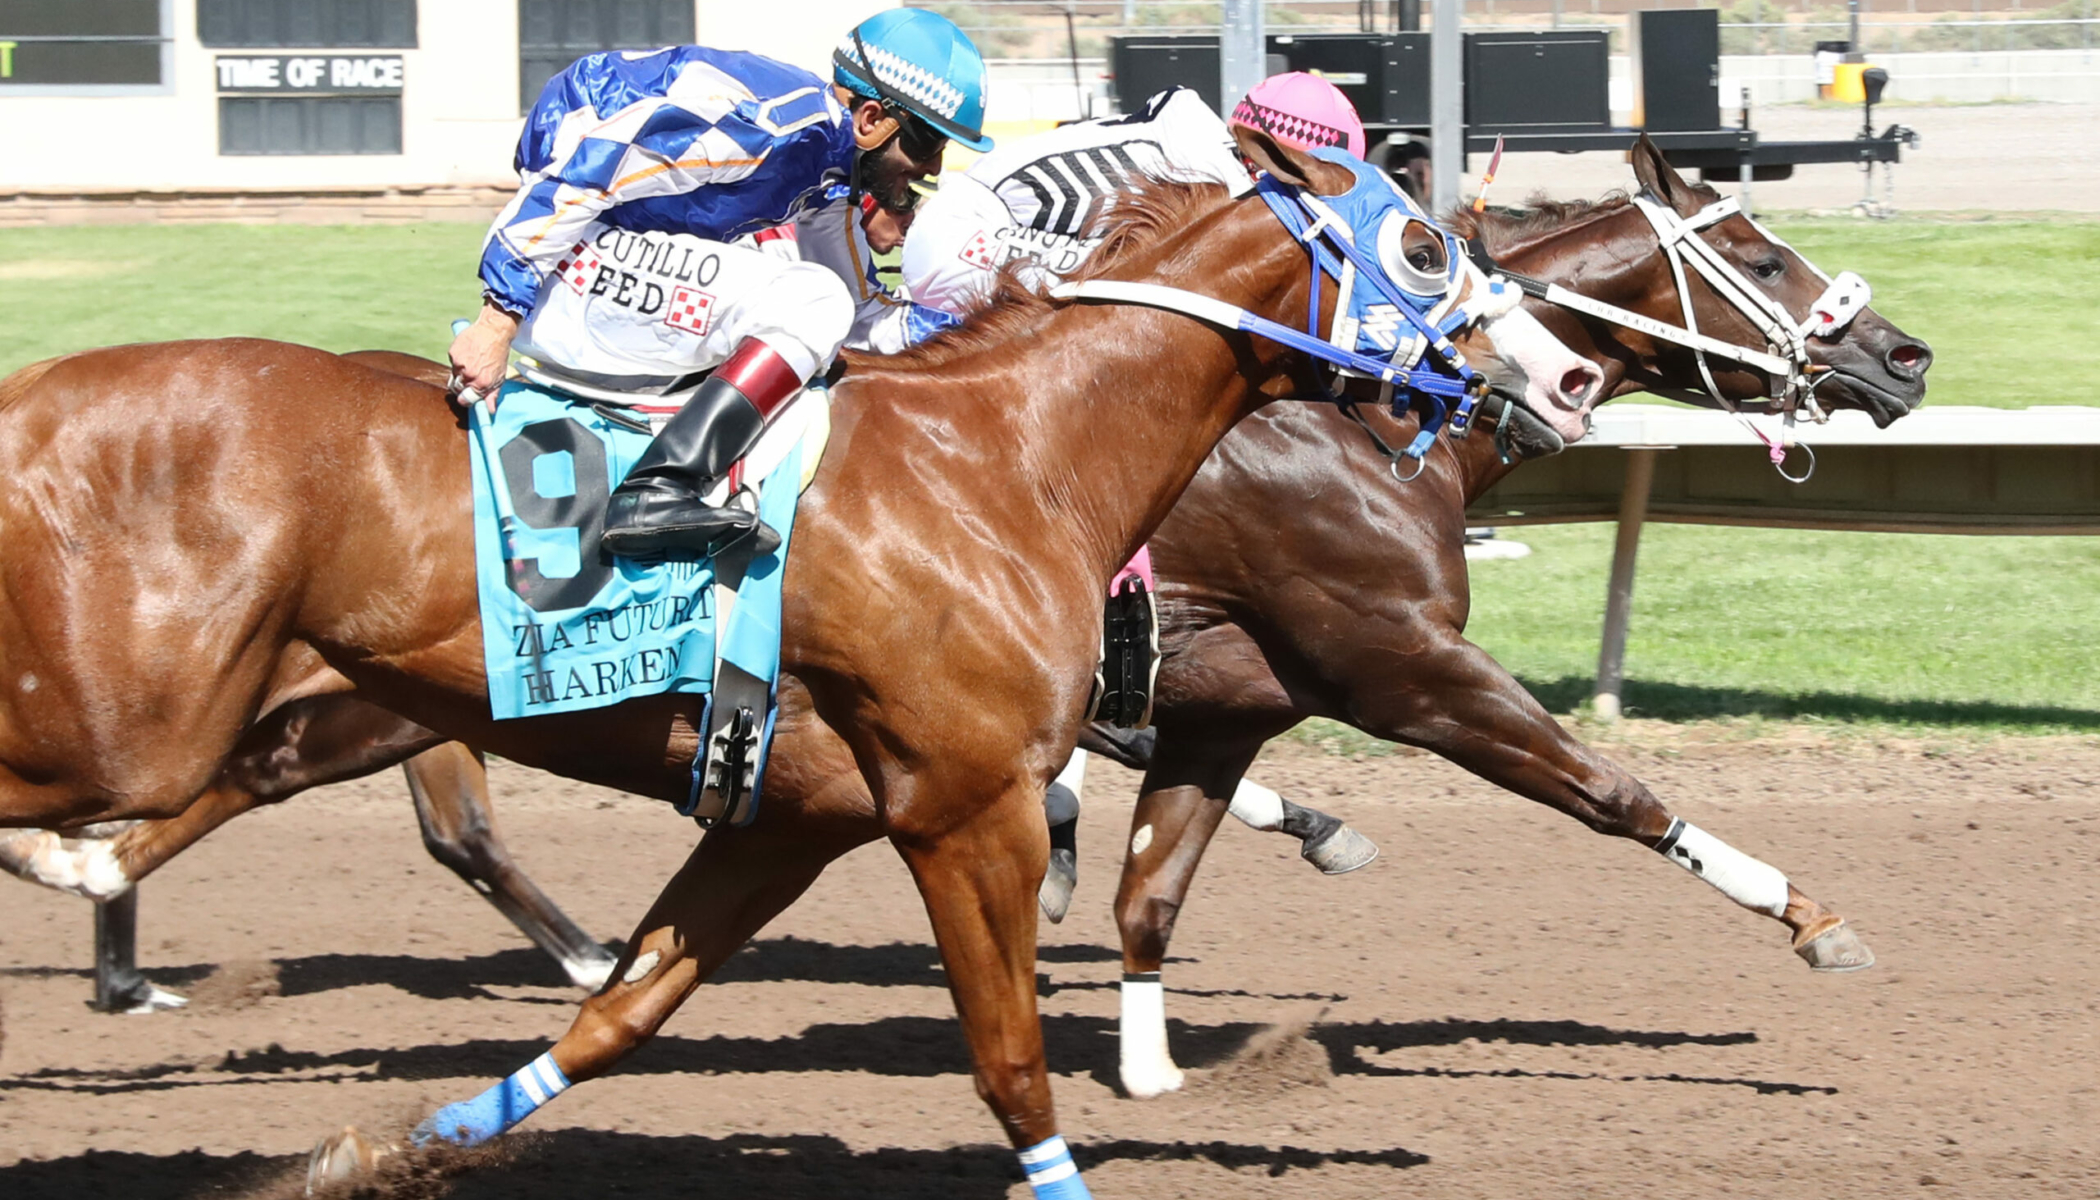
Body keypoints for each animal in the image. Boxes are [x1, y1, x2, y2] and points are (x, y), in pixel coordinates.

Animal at [0, 133, 1579, 1193]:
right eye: (1425, 247)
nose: (1562, 375)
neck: (1010, 455)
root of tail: (28, 391)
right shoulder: (968, 810)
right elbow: (1011, 1058)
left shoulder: (796, 817)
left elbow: (620, 1014)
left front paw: (390, 1149)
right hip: (132, 718)